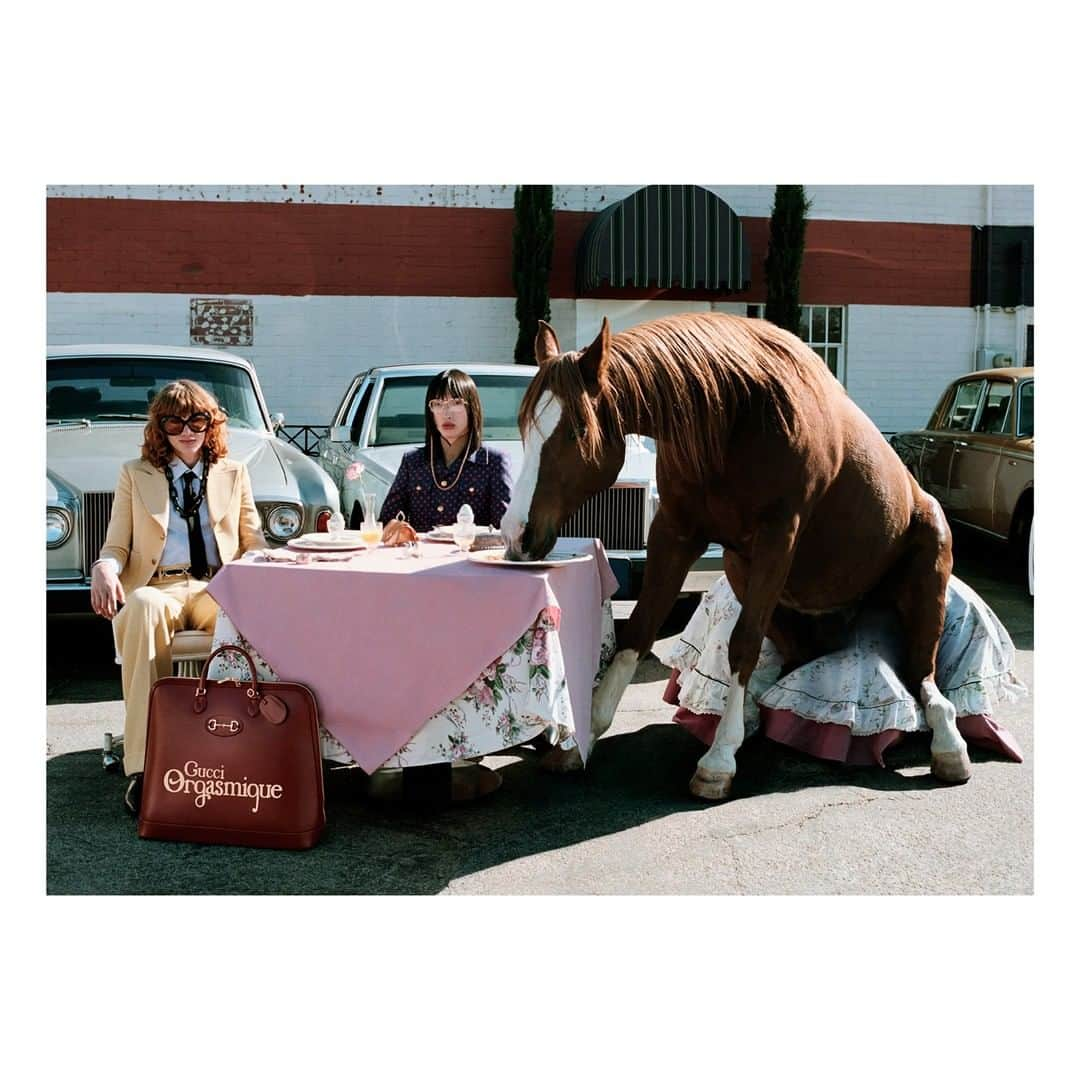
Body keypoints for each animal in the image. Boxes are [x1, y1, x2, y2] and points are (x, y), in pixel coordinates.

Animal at [498, 313, 972, 803]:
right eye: (524, 426)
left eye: (577, 431)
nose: (517, 534)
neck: (736, 416)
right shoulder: (674, 533)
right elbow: (639, 633)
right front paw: (583, 738)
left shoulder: (776, 539)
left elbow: (743, 645)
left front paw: (719, 759)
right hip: (747, 578)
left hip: (926, 576)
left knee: (924, 677)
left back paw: (948, 743)